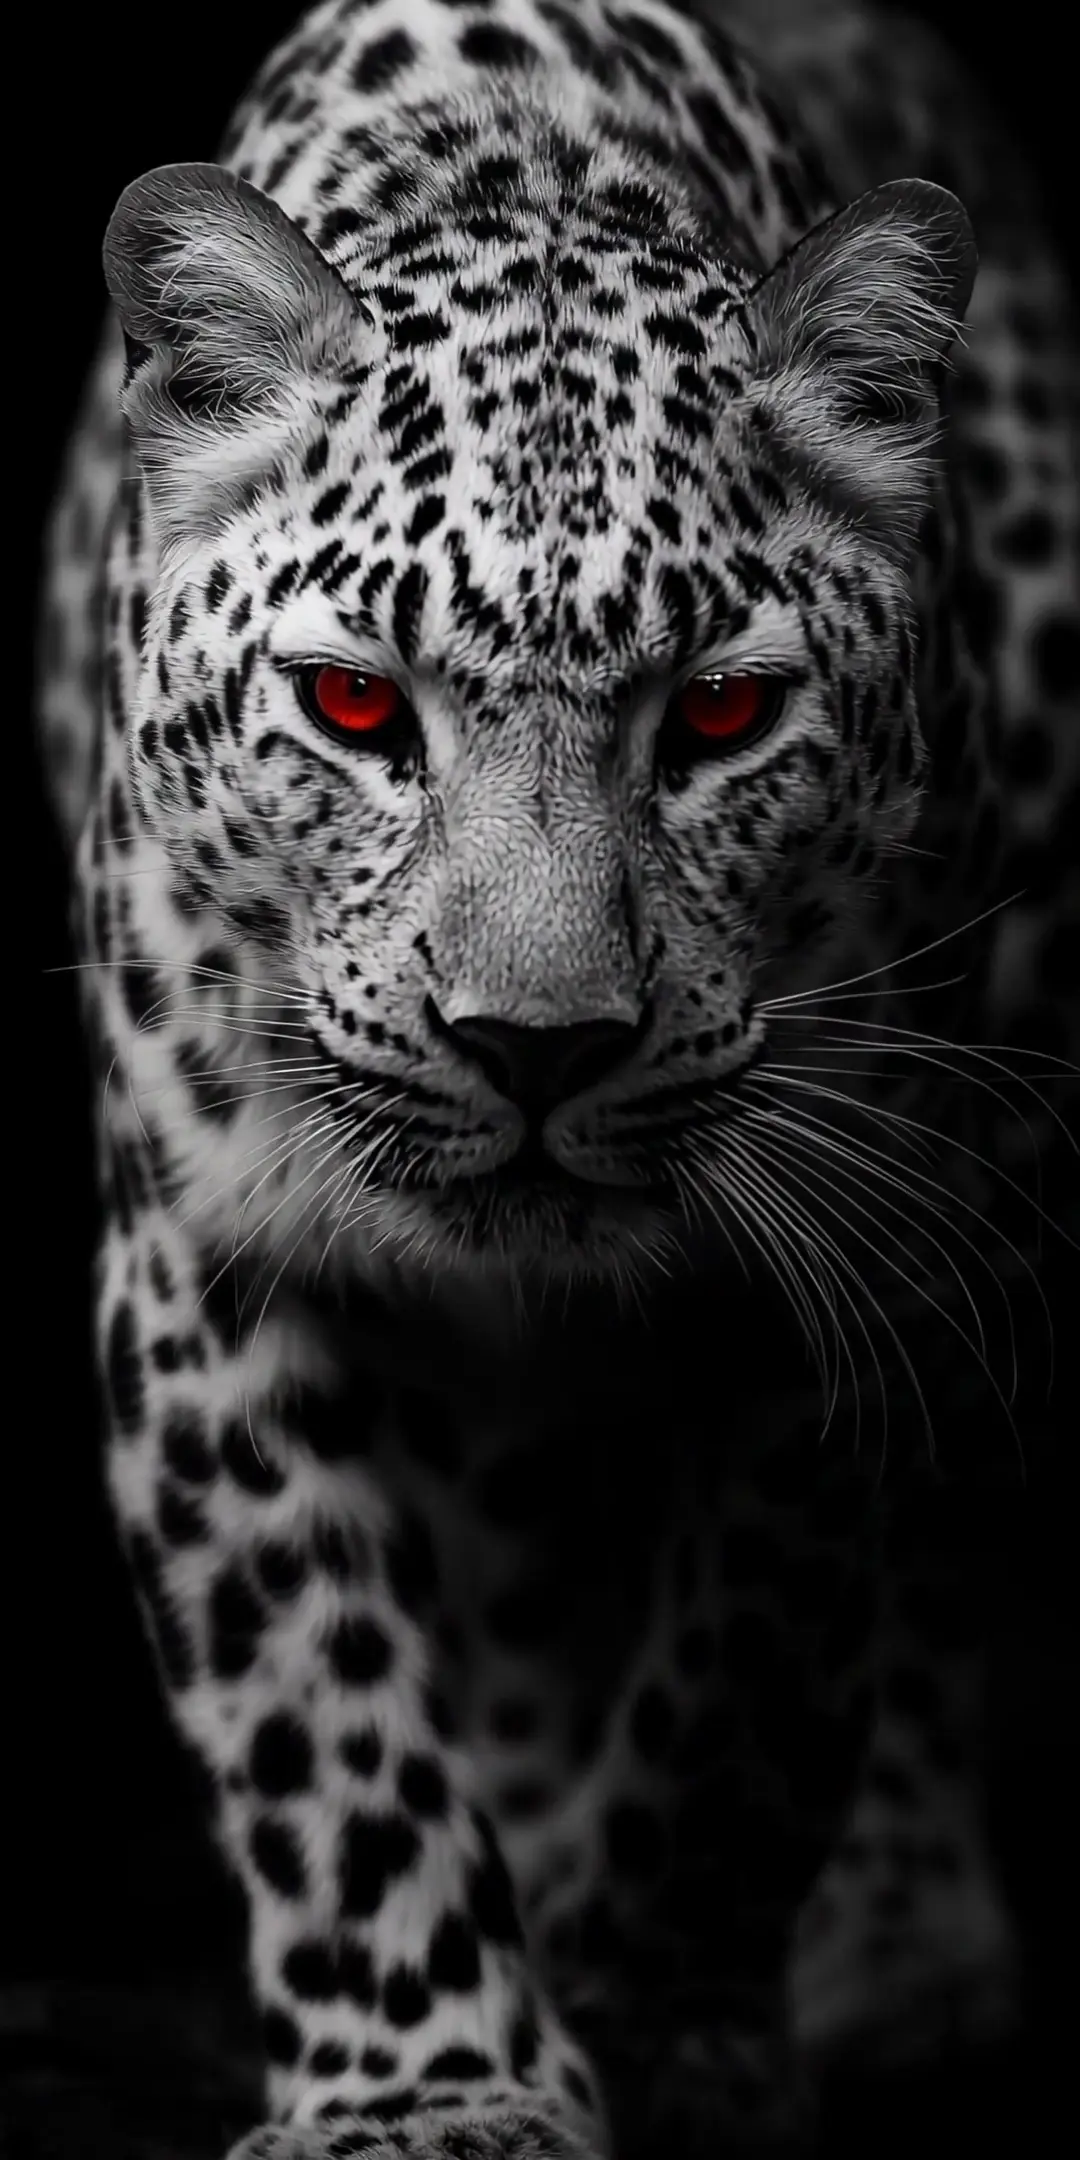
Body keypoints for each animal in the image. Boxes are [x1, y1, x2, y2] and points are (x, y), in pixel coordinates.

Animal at [35, 1, 1079, 2155]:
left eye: (724, 716)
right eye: (358, 707)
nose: (536, 1048)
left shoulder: (855, 1230)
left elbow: (758, 1666)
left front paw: (649, 2000)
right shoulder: (198, 1254)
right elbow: (319, 1703)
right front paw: (431, 2084)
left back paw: (897, 1940)